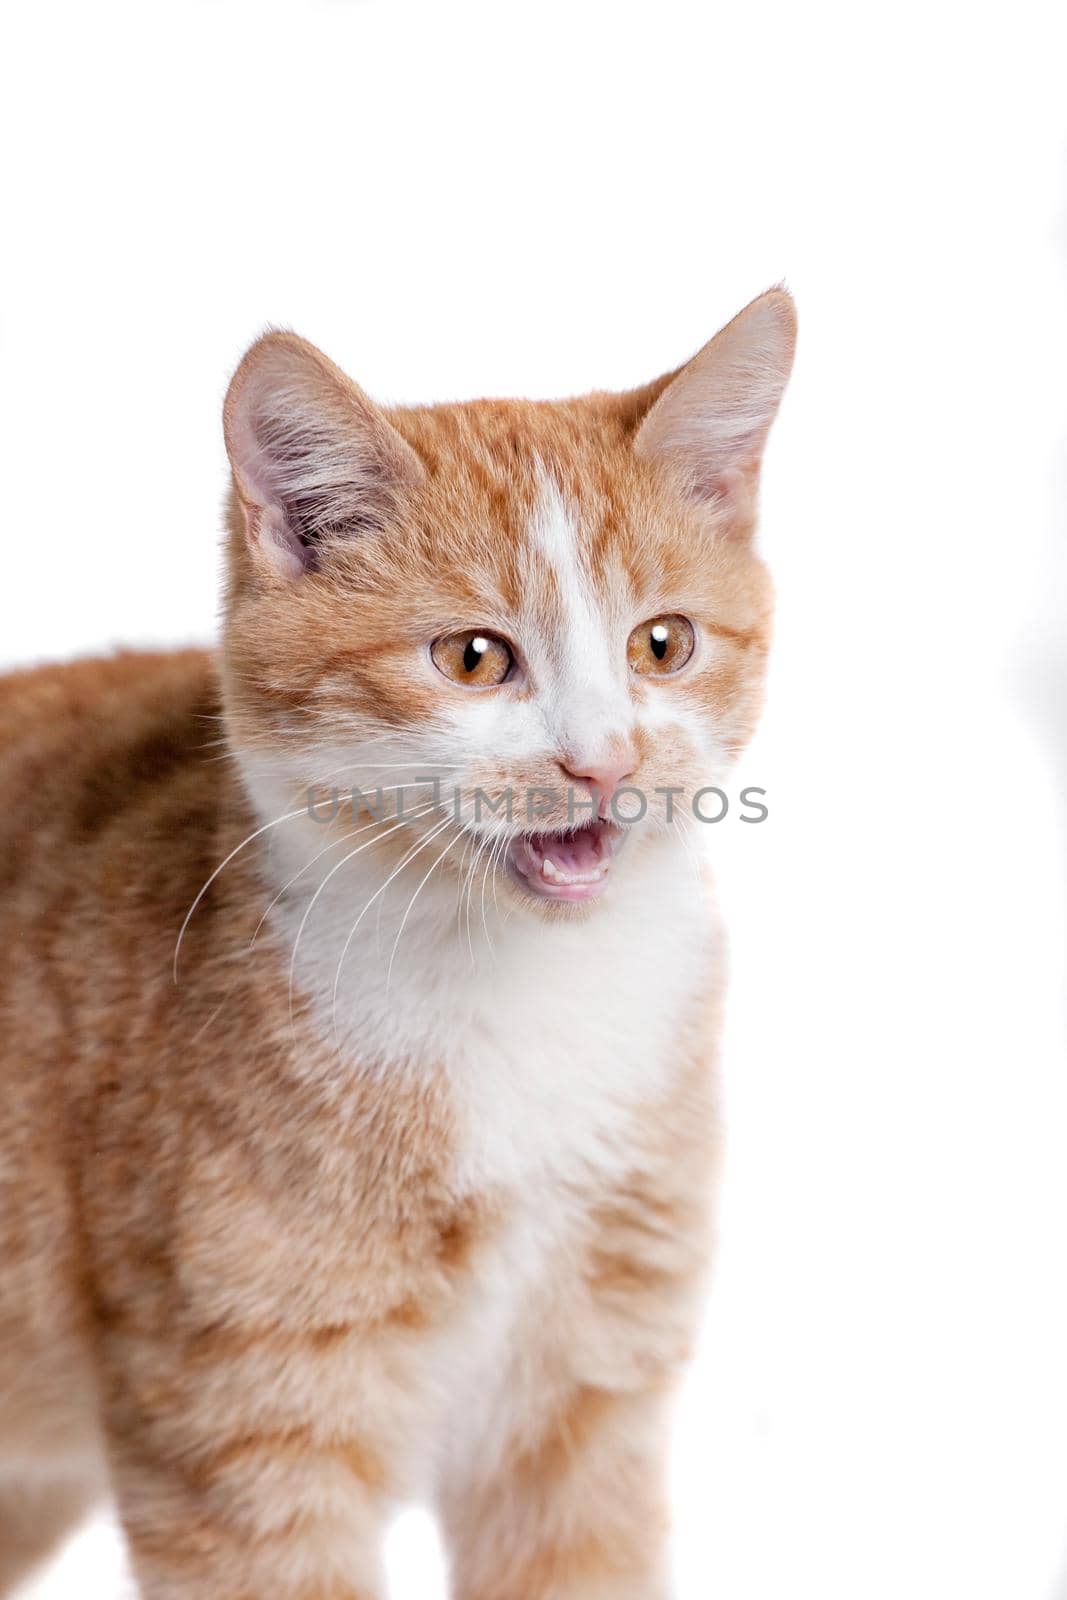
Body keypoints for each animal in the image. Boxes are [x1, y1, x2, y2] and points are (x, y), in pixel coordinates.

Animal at [0, 291, 793, 1600]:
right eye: (473, 658)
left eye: (661, 645)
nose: (604, 763)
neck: (520, 1000)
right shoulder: (246, 1436)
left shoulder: (583, 1406)